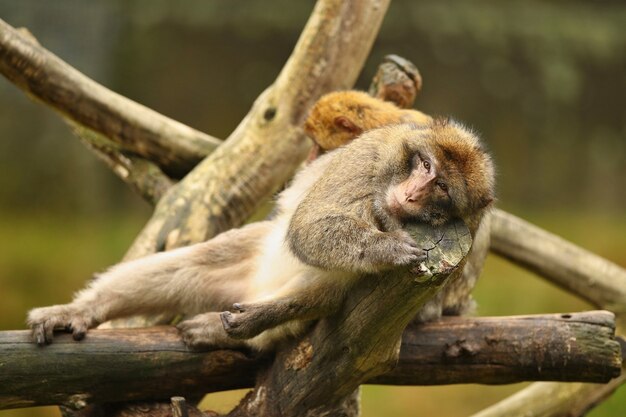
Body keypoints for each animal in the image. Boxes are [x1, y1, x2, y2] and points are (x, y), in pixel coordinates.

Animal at [28, 115, 492, 350]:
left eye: (441, 187)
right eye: (424, 165)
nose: (412, 194)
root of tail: (259, 284)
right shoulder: (368, 157)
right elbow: (309, 226)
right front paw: (390, 244)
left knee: (318, 296)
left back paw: (244, 323)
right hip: (250, 254)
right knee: (194, 263)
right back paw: (84, 310)